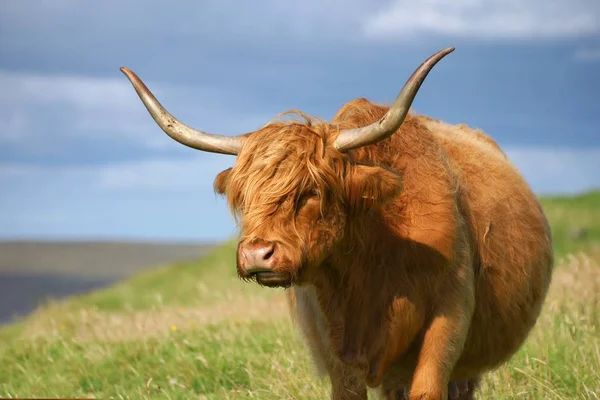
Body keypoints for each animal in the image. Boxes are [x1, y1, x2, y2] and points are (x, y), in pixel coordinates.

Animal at [120, 47, 552, 400]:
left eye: (311, 191)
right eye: (244, 196)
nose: (258, 254)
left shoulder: (449, 316)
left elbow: (428, 387)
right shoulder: (335, 345)